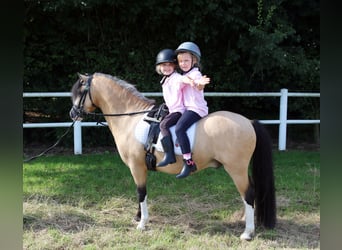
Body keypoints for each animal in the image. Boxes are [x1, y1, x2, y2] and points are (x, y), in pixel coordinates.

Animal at [69, 72, 276, 240]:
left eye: (80, 92)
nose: (73, 113)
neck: (130, 118)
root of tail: (248, 122)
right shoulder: (140, 168)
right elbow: (140, 192)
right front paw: (138, 216)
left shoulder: (137, 167)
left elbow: (141, 192)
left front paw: (142, 223)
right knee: (251, 191)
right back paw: (244, 220)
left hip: (236, 169)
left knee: (248, 193)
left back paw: (247, 232)